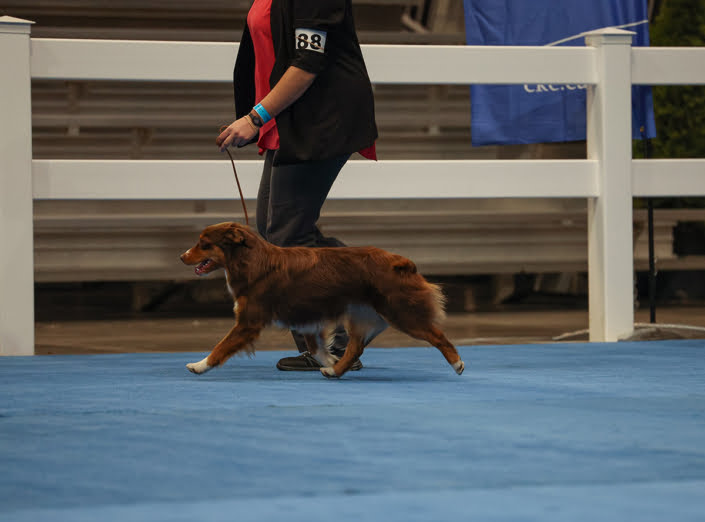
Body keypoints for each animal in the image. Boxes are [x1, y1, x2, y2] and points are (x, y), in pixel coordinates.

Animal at [180, 221, 462, 376]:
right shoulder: (306, 318)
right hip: (361, 314)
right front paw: (329, 361)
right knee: (356, 346)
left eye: (203, 244)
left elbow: (221, 346)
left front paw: (199, 365)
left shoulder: (249, 322)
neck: (251, 260)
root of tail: (401, 262)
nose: (181, 257)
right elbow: (317, 348)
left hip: (400, 312)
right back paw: (335, 371)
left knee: (437, 335)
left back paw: (458, 363)